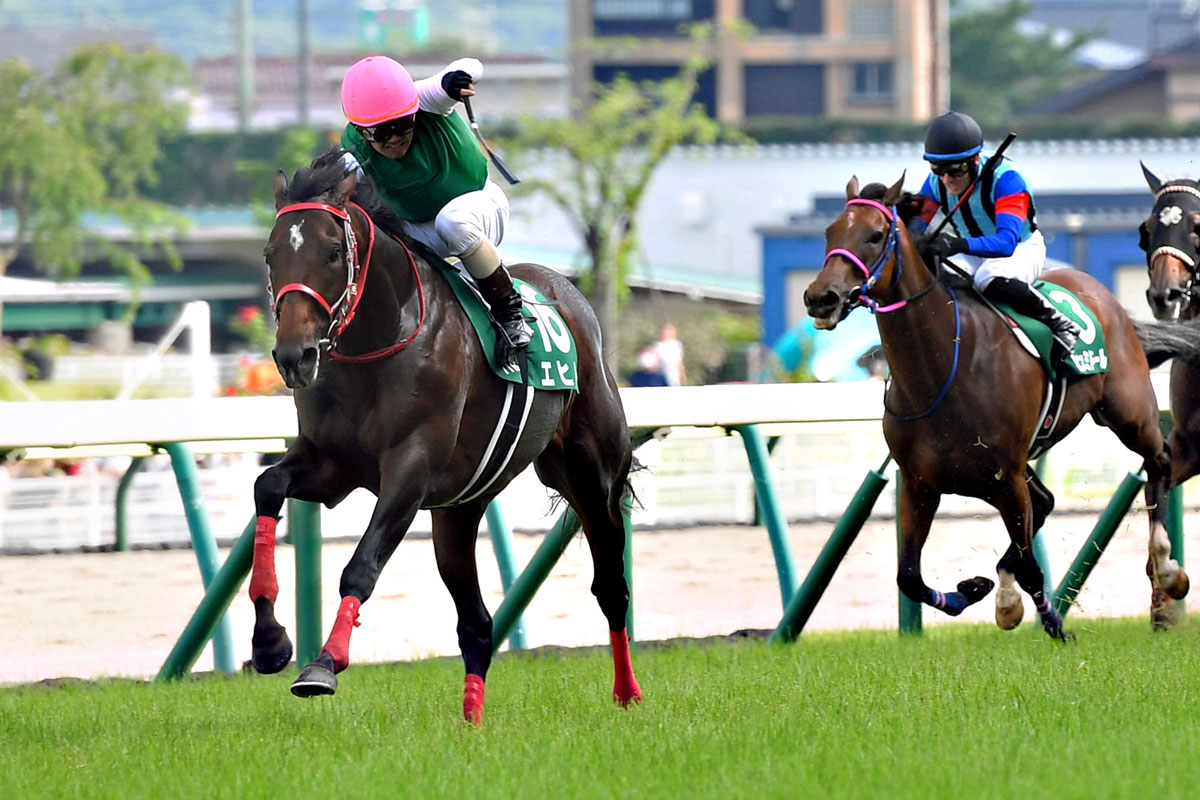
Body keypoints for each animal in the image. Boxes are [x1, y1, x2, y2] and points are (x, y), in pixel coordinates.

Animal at [250, 150, 641, 723]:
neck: (378, 341)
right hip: (458, 510)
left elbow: (361, 566)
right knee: (476, 623)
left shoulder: (410, 469)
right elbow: (268, 487)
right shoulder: (329, 465)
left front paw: (323, 665)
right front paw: (269, 642)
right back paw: (471, 719)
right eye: (271, 255)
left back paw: (627, 693)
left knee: (611, 587)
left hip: (591, 478)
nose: (294, 356)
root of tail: (566, 291)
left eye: (331, 253)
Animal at [803, 174, 1199, 638]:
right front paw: (975, 589)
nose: (821, 297)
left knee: (1160, 463)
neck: (940, 371)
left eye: (875, 235)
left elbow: (1032, 567)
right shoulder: (921, 483)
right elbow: (909, 577)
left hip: (1129, 414)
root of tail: (1107, 298)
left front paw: (1055, 626)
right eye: (830, 233)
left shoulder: (1006, 477)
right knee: (1046, 501)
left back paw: (1169, 569)